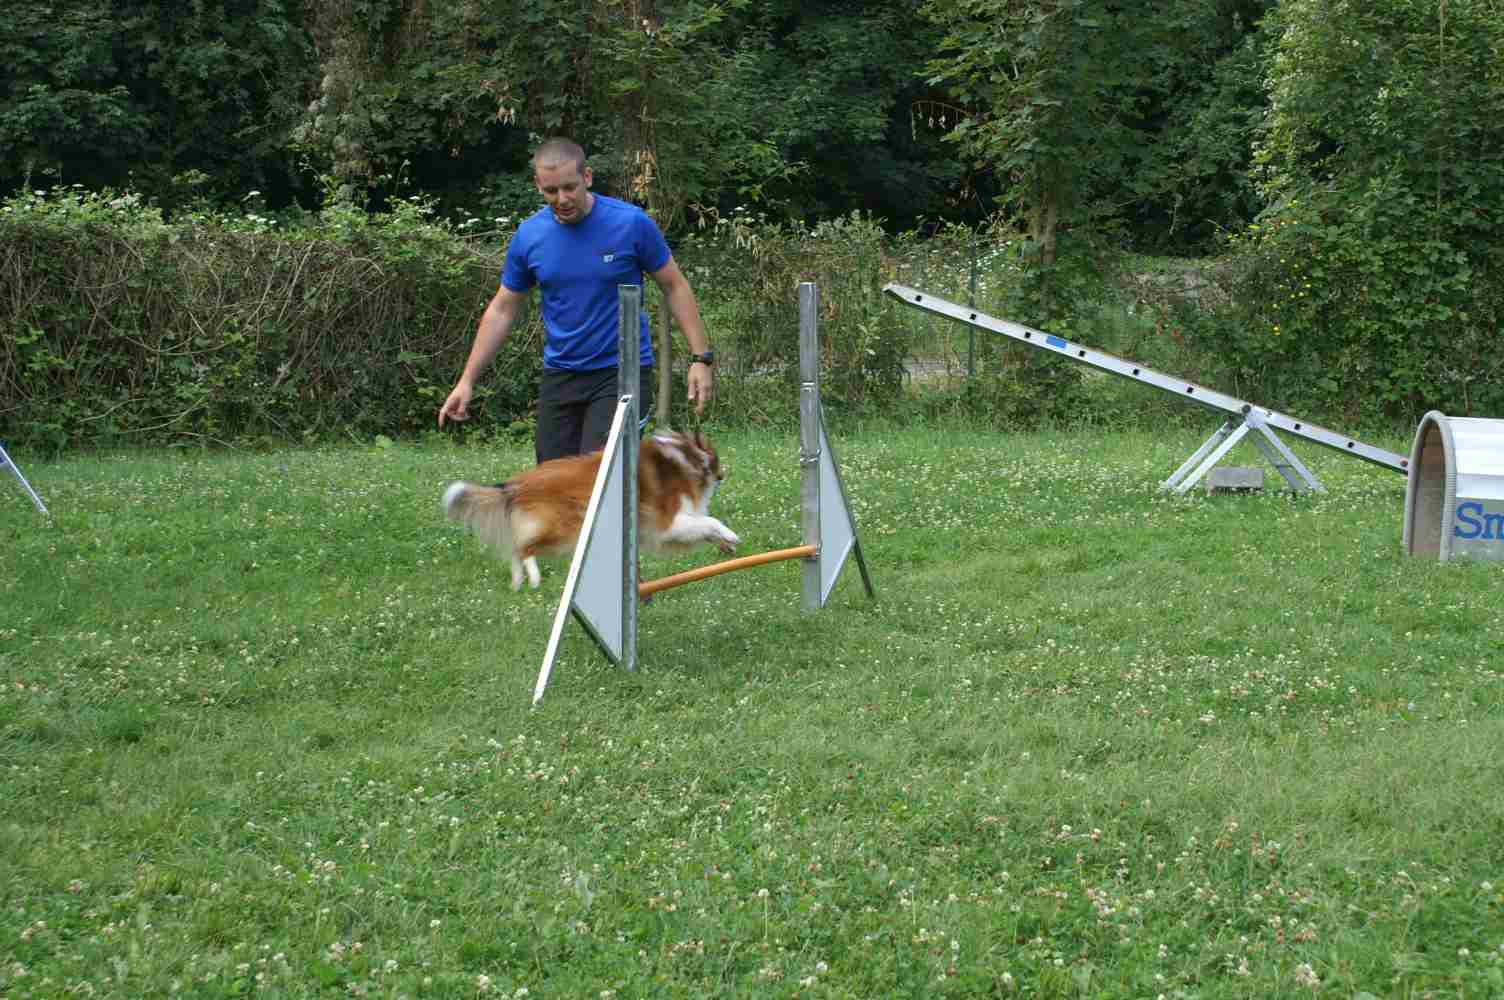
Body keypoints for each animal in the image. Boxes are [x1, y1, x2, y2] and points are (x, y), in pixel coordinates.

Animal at [443, 430, 740, 590]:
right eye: (717, 459)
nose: (724, 475)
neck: (686, 460)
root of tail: (516, 485)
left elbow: (705, 526)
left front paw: (725, 544)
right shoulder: (669, 523)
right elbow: (710, 521)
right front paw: (731, 536)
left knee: (515, 547)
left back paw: (518, 581)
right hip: (564, 529)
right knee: (523, 547)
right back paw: (534, 577)